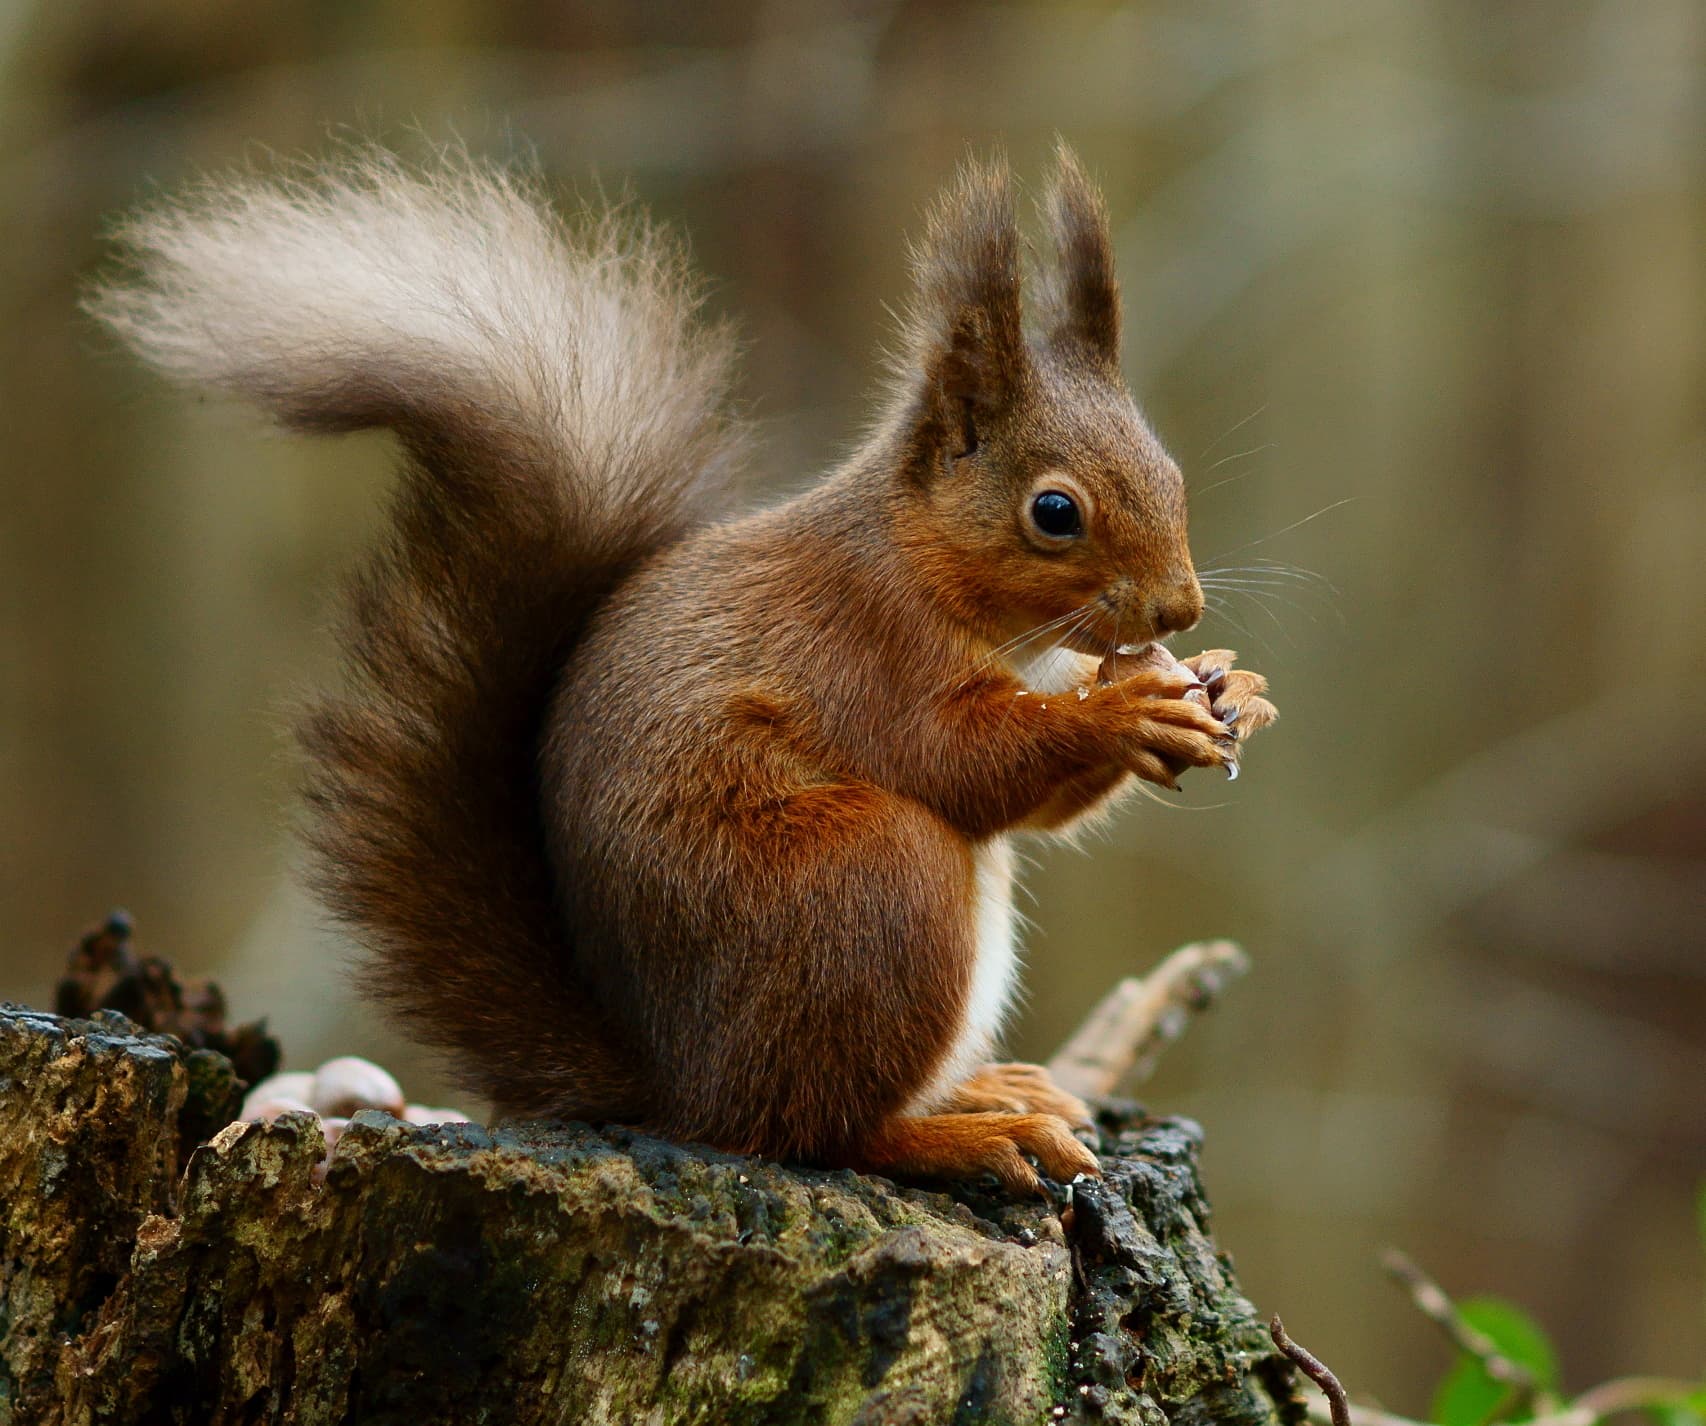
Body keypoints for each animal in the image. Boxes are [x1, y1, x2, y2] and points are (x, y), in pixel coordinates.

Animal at [88, 142, 1276, 1196]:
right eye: (1054, 512)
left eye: (1169, 471)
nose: (1179, 607)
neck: (926, 569)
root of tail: (679, 1085)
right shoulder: (862, 648)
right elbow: (962, 761)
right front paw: (1126, 711)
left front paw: (1230, 687)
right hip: (865, 884)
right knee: (812, 1130)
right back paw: (962, 1135)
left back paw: (988, 1090)